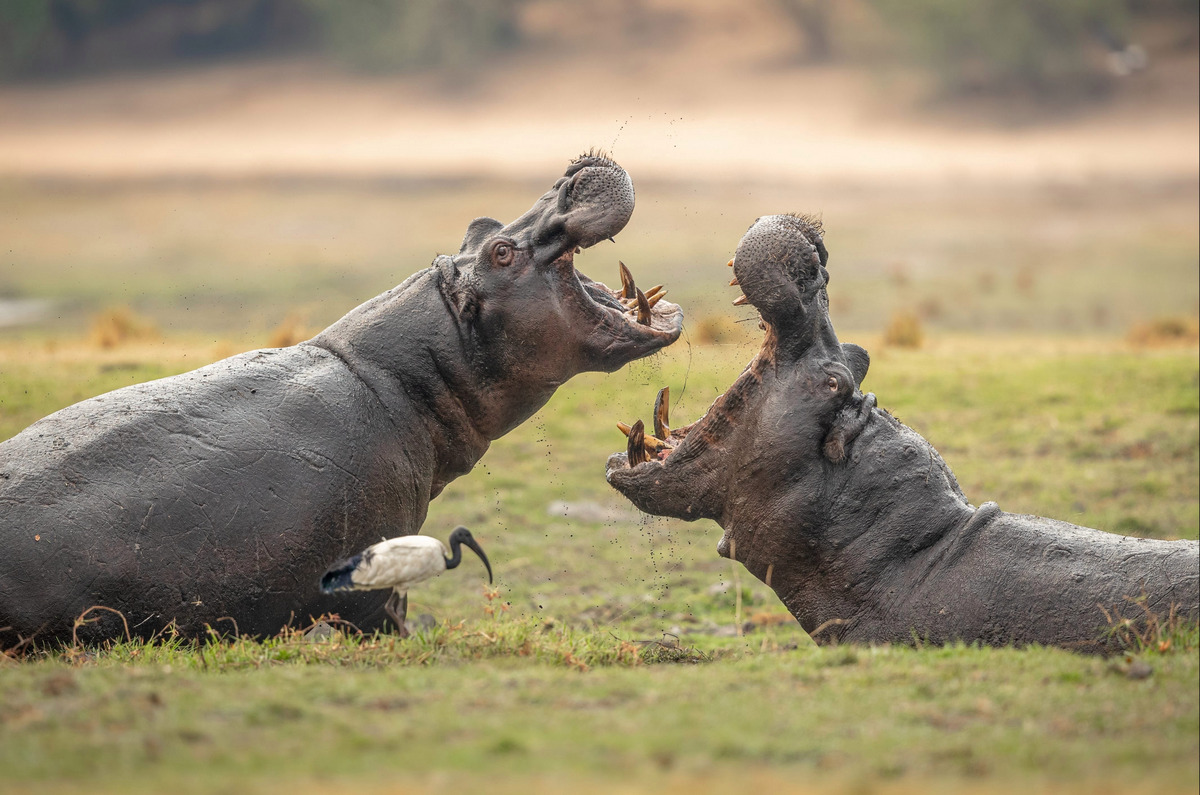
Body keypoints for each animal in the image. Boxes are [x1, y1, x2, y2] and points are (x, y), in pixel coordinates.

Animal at [0, 151, 681, 648]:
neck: (399, 375)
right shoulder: (373, 570)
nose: (566, 182)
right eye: (501, 250)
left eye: (481, 227)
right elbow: (389, 615)